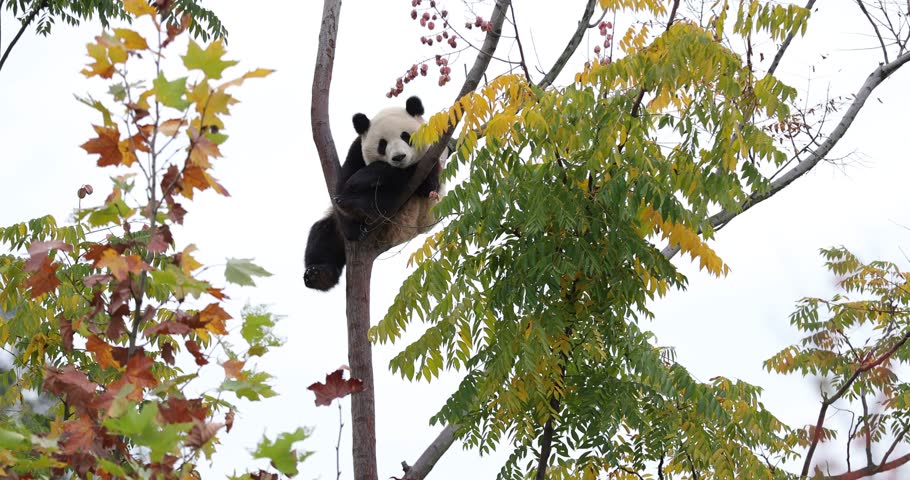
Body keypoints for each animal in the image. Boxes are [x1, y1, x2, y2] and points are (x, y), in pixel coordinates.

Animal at [304, 96, 445, 291]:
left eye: (405, 136)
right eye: (382, 144)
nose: (398, 157)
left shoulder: (432, 158)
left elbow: (426, 186)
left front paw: (369, 176)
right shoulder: (356, 151)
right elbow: (342, 184)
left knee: (385, 199)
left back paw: (355, 204)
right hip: (336, 229)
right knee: (322, 235)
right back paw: (318, 275)